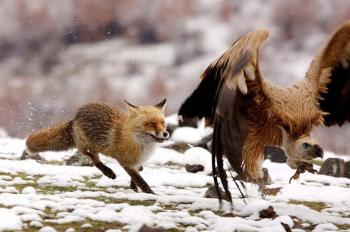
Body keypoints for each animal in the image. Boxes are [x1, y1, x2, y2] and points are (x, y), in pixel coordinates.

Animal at [22, 99, 168, 194]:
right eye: (150, 124)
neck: (142, 145)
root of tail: (76, 116)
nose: (166, 133)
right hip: (88, 147)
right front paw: (151, 194)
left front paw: (134, 188)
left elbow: (137, 174)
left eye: (163, 123)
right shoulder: (125, 161)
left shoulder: (137, 161)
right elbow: (141, 180)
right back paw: (109, 172)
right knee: (95, 161)